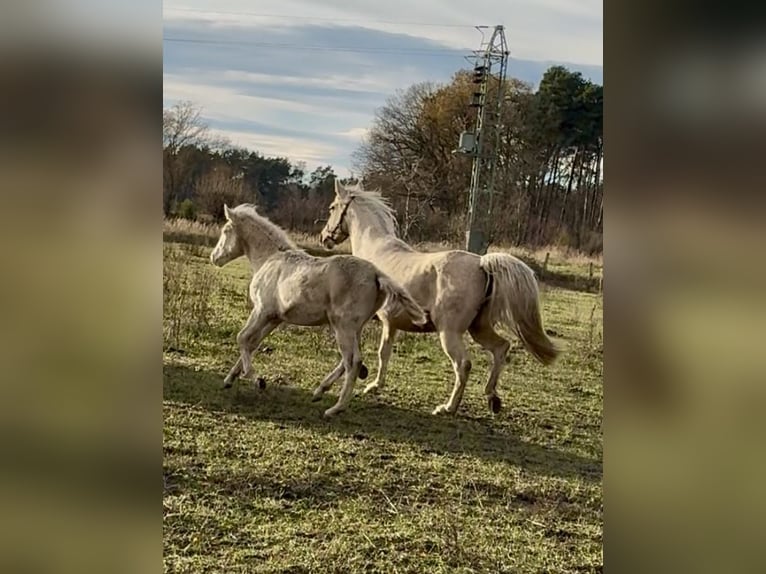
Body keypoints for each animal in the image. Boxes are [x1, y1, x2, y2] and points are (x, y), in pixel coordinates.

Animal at [210, 203, 428, 417]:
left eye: (226, 230)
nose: (214, 257)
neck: (270, 259)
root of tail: (376, 274)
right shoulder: (274, 318)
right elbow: (252, 343)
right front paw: (230, 379)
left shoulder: (261, 311)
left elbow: (242, 338)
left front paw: (257, 380)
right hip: (354, 328)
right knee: (347, 361)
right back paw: (320, 391)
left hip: (343, 327)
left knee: (353, 362)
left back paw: (335, 408)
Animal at [319, 181, 561, 416]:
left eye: (332, 207)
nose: (323, 238)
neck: (376, 252)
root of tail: (482, 263)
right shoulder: (391, 324)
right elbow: (384, 353)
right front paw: (374, 385)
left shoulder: (371, 321)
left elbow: (369, 353)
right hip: (479, 328)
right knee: (501, 348)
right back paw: (492, 398)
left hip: (450, 332)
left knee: (463, 364)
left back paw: (447, 407)